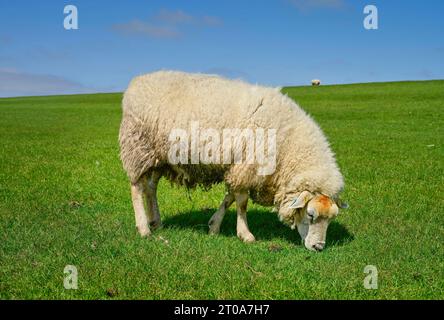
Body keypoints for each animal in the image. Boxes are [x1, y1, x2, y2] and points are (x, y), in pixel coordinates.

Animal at [119, 71, 348, 251]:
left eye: (331, 218)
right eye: (310, 215)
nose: (318, 247)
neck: (287, 141)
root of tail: (135, 83)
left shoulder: (238, 167)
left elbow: (229, 197)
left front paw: (213, 226)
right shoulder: (247, 166)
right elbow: (242, 202)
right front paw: (245, 234)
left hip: (158, 157)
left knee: (150, 188)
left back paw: (156, 222)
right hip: (138, 148)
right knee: (137, 188)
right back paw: (144, 228)